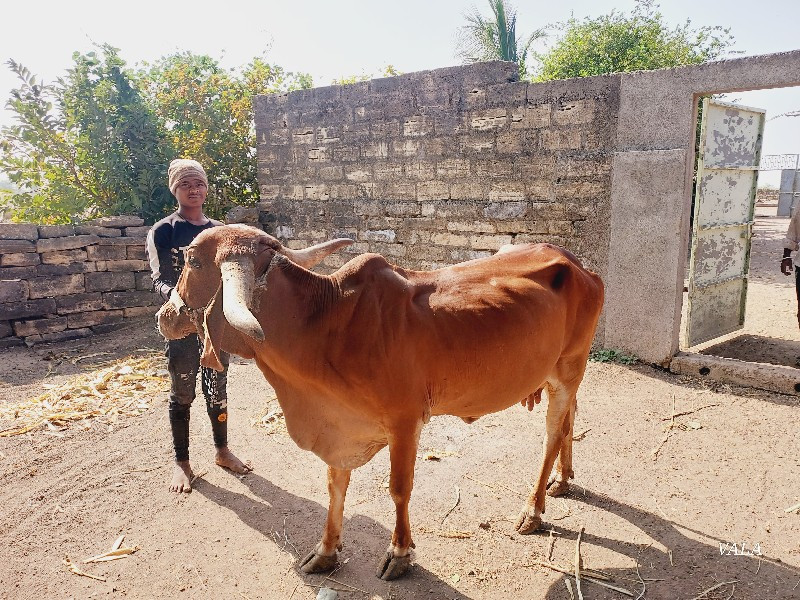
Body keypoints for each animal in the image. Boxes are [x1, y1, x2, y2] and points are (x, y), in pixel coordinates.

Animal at [159, 223, 604, 580]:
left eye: (193, 261)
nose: (165, 316)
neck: (326, 325)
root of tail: (582, 267)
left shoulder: (405, 422)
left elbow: (399, 490)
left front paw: (400, 553)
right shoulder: (340, 426)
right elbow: (335, 487)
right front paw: (326, 551)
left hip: (569, 368)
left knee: (552, 434)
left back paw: (534, 509)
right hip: (561, 376)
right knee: (569, 421)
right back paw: (563, 480)